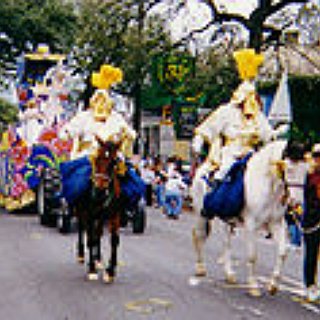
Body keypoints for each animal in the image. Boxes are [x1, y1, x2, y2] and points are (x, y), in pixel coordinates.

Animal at [73, 138, 124, 282]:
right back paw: (81, 255)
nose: (100, 188)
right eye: (96, 159)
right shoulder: (90, 214)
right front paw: (92, 270)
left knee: (98, 233)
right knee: (82, 229)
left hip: (101, 216)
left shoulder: (115, 215)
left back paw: (98, 258)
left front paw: (110, 271)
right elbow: (90, 239)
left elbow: (114, 240)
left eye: (114, 162)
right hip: (80, 210)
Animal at [191, 139, 296, 296]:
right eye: (290, 169)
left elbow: (283, 252)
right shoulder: (251, 225)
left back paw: (229, 274)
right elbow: (252, 256)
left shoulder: (276, 223)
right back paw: (200, 268)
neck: (266, 184)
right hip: (200, 214)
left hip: (226, 221)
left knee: (226, 244)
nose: (295, 202)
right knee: (199, 236)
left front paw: (273, 285)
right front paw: (253, 286)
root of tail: (204, 165)